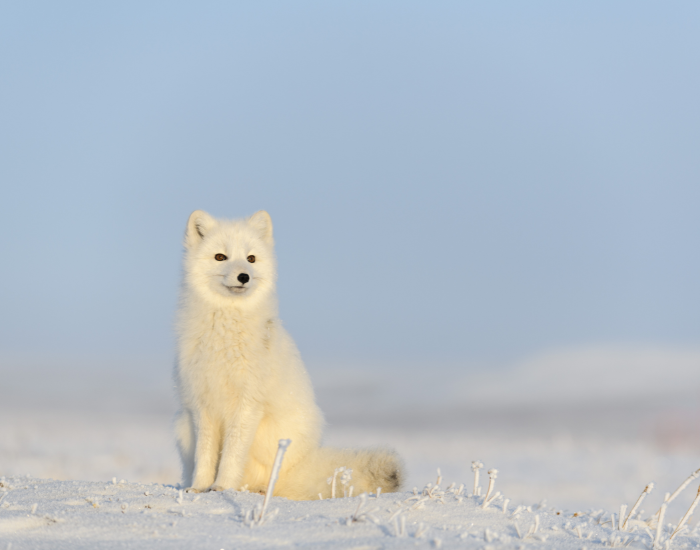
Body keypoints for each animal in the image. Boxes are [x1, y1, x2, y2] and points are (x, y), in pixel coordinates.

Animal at [173, 210, 403, 499]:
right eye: (220, 257)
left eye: (251, 258)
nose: (244, 276)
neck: (225, 335)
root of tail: (303, 465)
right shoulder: (202, 404)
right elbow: (205, 455)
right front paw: (199, 487)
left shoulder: (248, 403)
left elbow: (232, 455)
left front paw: (222, 486)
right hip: (182, 427)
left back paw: (260, 490)